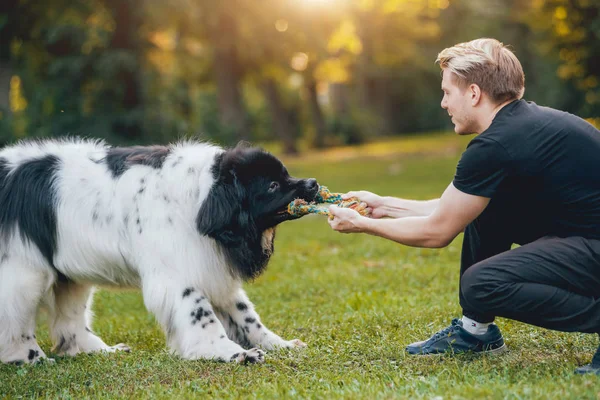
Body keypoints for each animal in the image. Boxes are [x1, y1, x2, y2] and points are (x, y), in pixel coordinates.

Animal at [0, 139, 318, 364]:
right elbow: (201, 315)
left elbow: (244, 314)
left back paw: (98, 350)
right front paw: (230, 352)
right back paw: (30, 358)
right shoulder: (178, 274)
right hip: (25, 273)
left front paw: (278, 345)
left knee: (72, 319)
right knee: (16, 317)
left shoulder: (208, 265)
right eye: (273, 185)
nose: (313, 183)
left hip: (70, 273)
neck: (201, 197)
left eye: (286, 174)